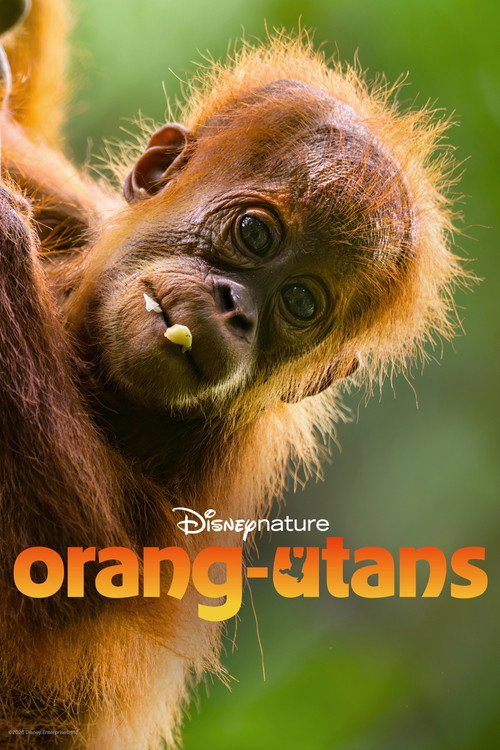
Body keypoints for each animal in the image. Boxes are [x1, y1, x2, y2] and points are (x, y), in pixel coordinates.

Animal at [0, 0, 466, 747]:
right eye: (254, 233)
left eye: (300, 302)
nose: (236, 309)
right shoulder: (79, 213)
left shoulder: (216, 464)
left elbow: (78, 567)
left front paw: (5, 230)